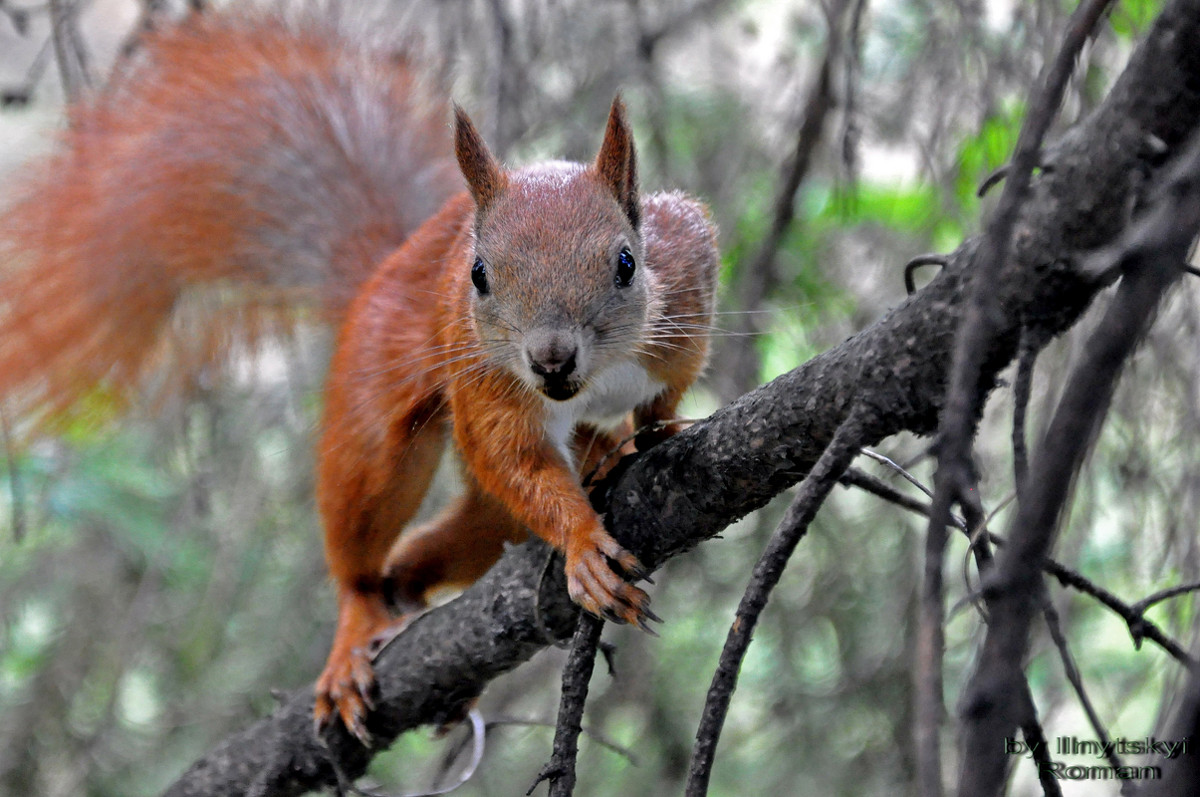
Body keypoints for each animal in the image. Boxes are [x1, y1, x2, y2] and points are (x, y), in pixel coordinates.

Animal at [0, 6, 715, 744]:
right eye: (478, 276)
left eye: (626, 263)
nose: (550, 358)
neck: (591, 382)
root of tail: (387, 265)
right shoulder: (484, 377)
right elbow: (515, 459)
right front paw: (581, 545)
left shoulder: (688, 281)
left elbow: (665, 391)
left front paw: (658, 428)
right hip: (379, 423)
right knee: (369, 536)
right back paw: (355, 632)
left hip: (478, 512)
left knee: (440, 545)